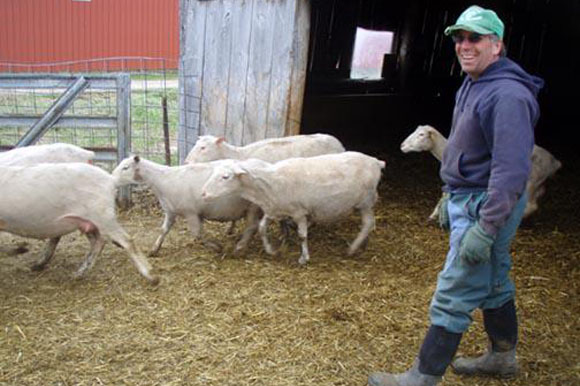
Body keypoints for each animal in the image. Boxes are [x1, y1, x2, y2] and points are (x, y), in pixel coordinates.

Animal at [0, 161, 159, 284]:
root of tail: (110, 179)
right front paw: (20, 249)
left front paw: (21, 249)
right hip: (87, 221)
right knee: (98, 242)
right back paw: (79, 273)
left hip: (102, 215)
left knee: (126, 240)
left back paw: (151, 276)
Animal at [111, 155, 260, 255]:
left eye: (125, 167)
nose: (111, 178)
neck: (161, 180)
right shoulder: (170, 211)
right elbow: (164, 230)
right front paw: (154, 249)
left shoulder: (191, 212)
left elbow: (196, 234)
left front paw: (216, 247)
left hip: (253, 207)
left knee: (251, 226)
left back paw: (240, 247)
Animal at [199, 151, 386, 266]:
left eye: (225, 177)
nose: (203, 193)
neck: (268, 184)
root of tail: (376, 161)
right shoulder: (274, 209)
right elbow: (261, 228)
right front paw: (271, 250)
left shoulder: (299, 212)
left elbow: (302, 236)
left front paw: (304, 258)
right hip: (364, 203)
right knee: (367, 224)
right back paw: (362, 245)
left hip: (366, 201)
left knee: (368, 223)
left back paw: (352, 249)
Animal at [402, 124, 560, 219]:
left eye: (421, 135)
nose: (402, 145)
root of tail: (554, 162)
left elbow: (445, 195)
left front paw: (435, 215)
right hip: (538, 183)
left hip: (531, 181)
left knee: (532, 206)